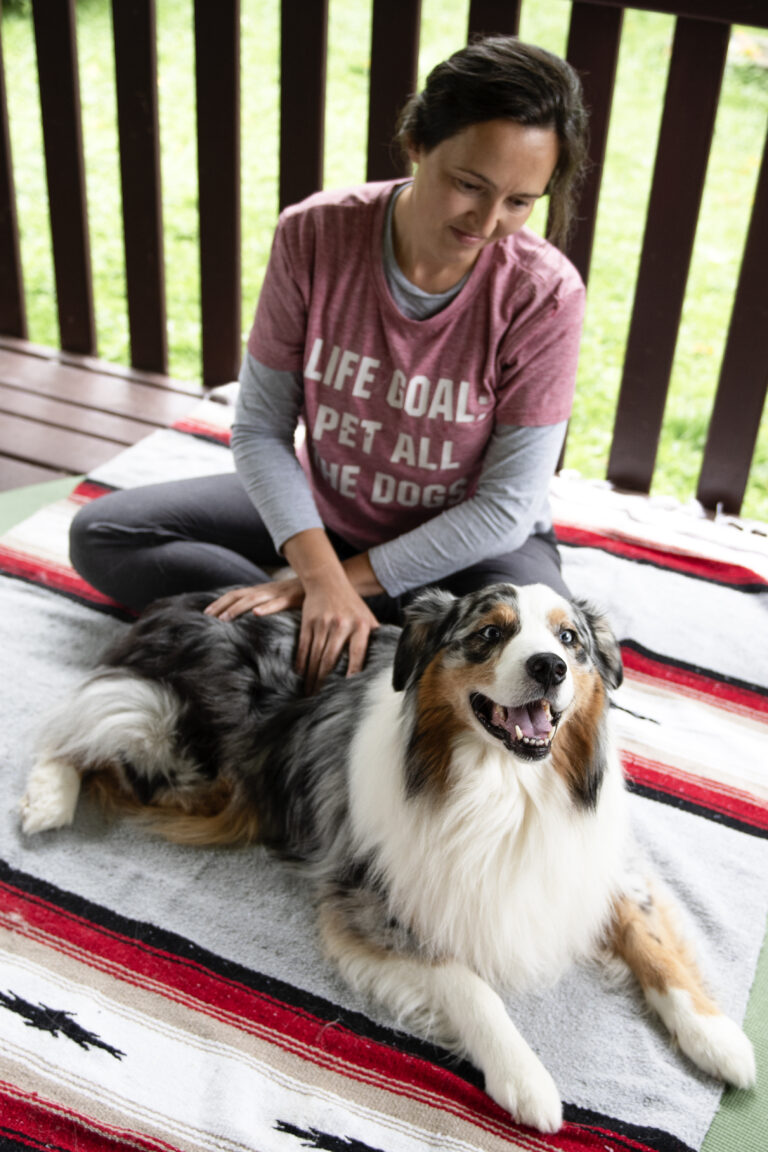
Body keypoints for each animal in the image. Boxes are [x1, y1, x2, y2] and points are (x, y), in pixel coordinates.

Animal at [19, 580, 755, 1128]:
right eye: (489, 634)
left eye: (569, 639)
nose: (547, 667)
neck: (506, 788)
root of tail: (177, 604)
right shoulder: (372, 899)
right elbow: (469, 985)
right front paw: (526, 1079)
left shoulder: (594, 865)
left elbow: (652, 943)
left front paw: (716, 1038)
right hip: (179, 749)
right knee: (79, 730)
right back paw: (45, 801)